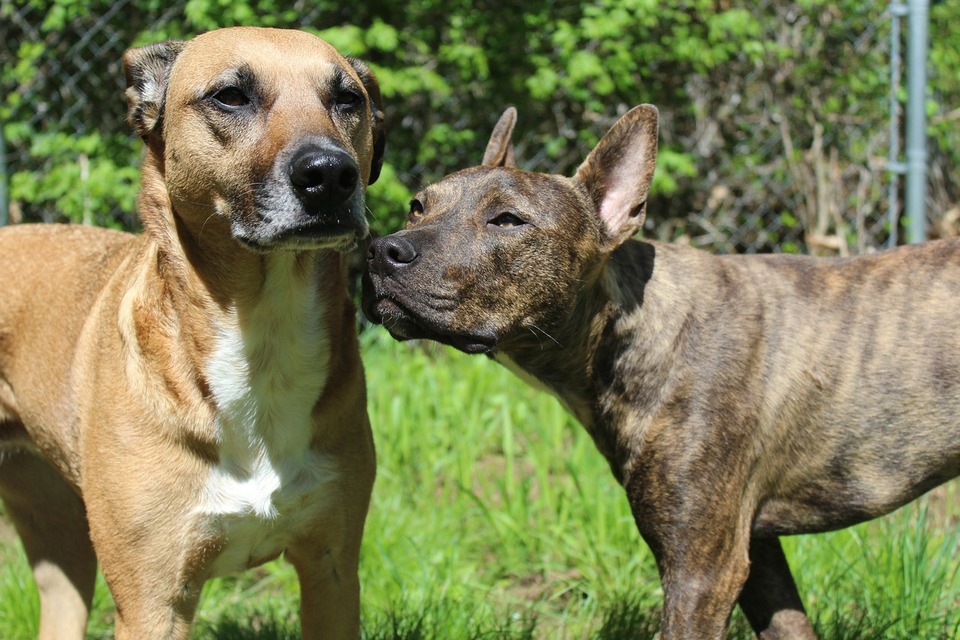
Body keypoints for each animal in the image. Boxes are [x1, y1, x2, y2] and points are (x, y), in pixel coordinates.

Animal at [0, 27, 382, 636]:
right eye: (230, 96)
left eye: (349, 99)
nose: (330, 174)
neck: (263, 336)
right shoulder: (153, 602)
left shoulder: (333, 573)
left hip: (62, 540)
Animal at [364, 102, 960, 636]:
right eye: (417, 206)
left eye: (507, 220)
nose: (382, 250)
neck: (634, 332)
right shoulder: (756, 553)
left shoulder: (702, 570)